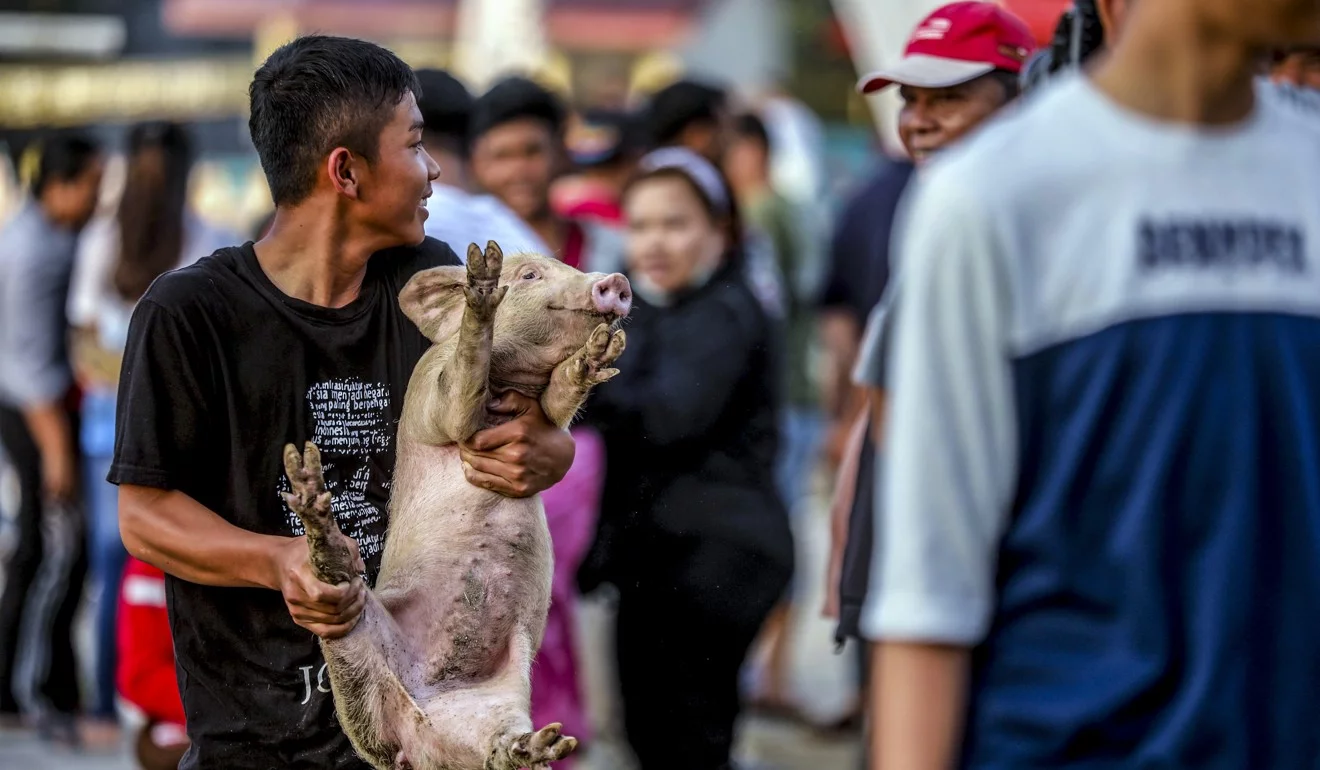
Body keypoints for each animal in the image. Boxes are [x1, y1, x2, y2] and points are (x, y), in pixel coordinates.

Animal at [278, 243, 628, 770]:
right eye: (530, 275)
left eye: (569, 266)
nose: (616, 281)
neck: (510, 381)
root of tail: (414, 736)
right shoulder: (432, 393)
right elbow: (459, 394)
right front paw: (482, 282)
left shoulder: (543, 412)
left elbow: (560, 397)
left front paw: (602, 351)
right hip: (354, 655)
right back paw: (311, 496)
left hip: (492, 705)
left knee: (496, 744)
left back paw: (540, 747)